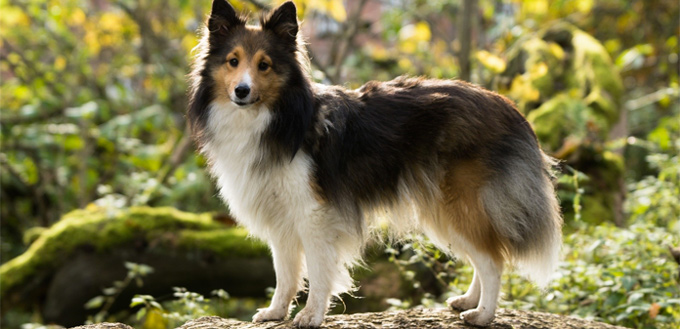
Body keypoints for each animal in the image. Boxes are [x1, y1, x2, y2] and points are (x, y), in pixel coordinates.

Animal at [187, 1, 564, 326]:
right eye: (233, 61)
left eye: (264, 65)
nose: (242, 91)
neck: (277, 117)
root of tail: (508, 107)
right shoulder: (280, 216)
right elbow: (286, 273)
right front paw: (275, 312)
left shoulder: (313, 214)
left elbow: (318, 271)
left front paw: (311, 315)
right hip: (443, 209)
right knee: (482, 255)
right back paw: (468, 301)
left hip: (460, 203)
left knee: (493, 259)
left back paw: (482, 315)